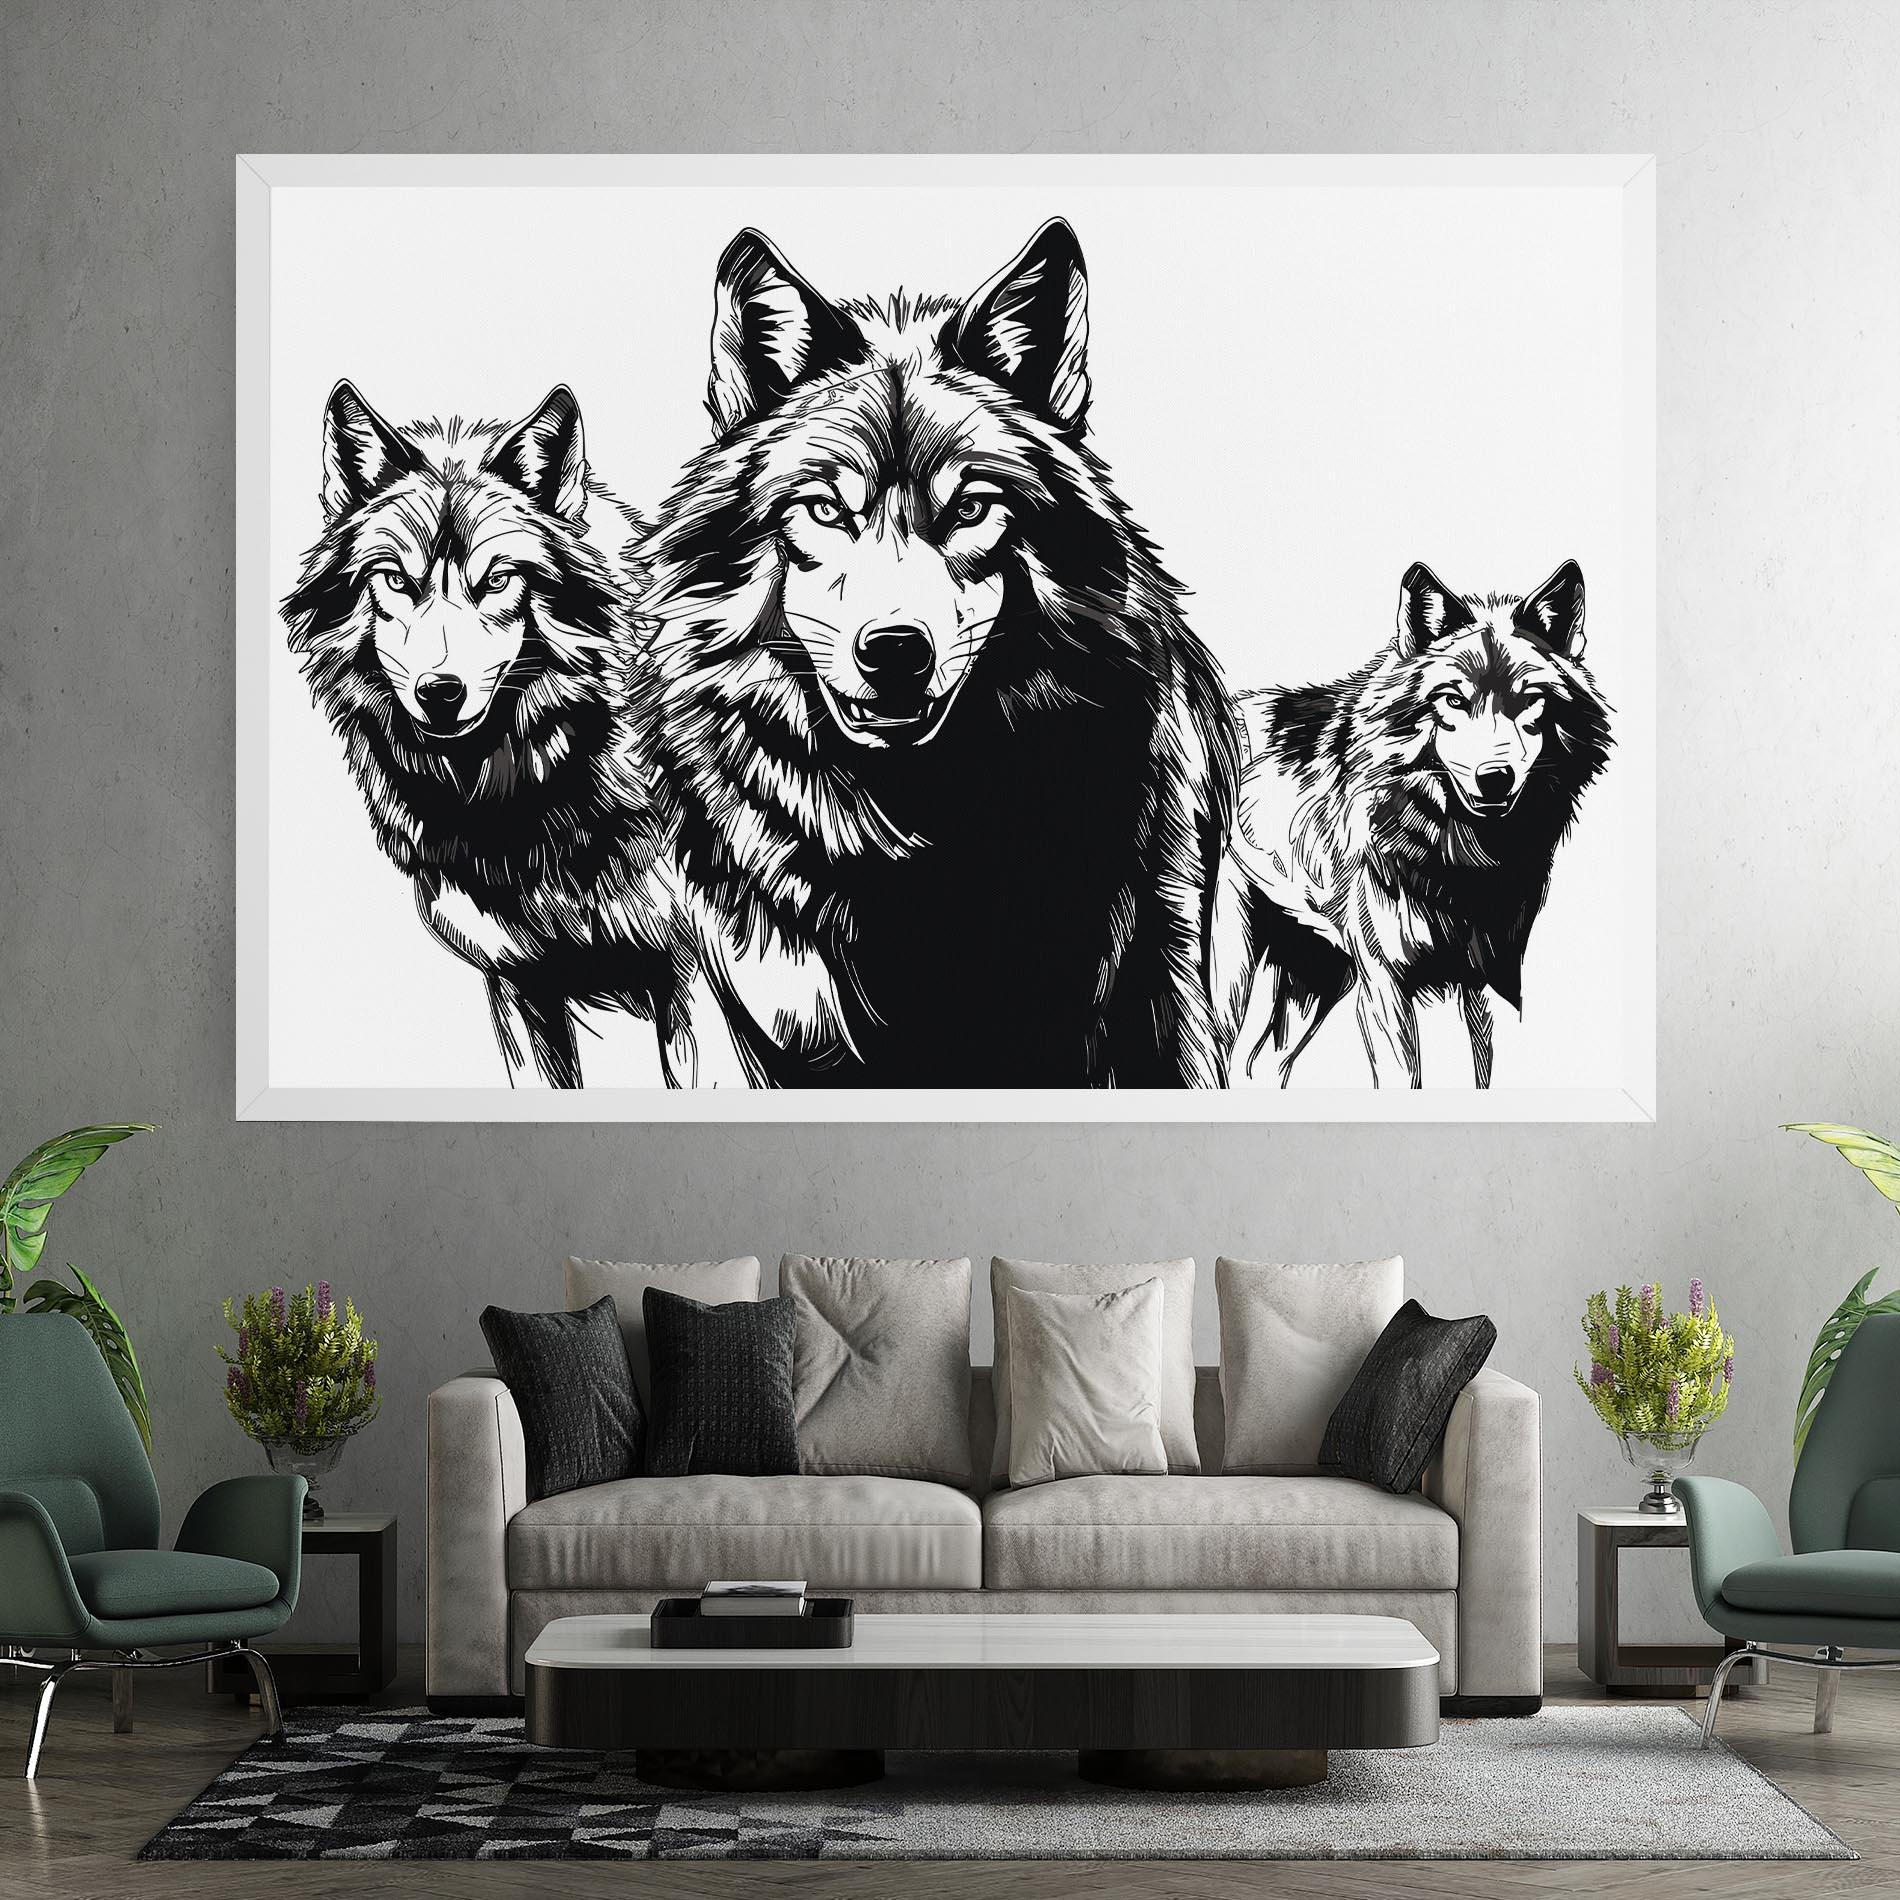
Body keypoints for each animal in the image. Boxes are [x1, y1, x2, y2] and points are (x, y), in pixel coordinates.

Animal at [1218, 559, 1612, 1089]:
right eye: (1452, 700)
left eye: (1528, 699)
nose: (1495, 778)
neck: (1464, 860)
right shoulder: (1386, 985)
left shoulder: (1491, 984)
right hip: (1230, 971)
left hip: (1318, 975)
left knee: (1260, 1063)